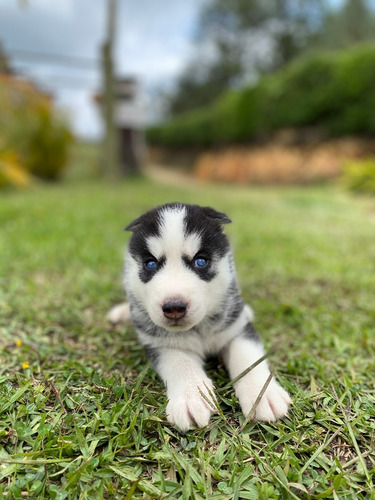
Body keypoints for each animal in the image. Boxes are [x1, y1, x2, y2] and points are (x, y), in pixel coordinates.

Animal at [110, 202, 292, 430]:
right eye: (150, 264)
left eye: (200, 261)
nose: (174, 307)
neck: (200, 329)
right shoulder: (161, 344)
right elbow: (181, 363)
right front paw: (191, 398)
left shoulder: (238, 329)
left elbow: (248, 358)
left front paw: (262, 394)